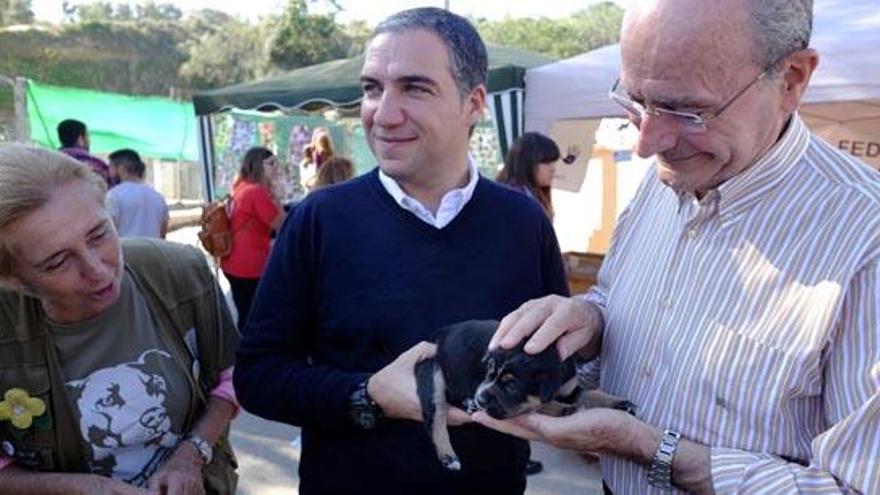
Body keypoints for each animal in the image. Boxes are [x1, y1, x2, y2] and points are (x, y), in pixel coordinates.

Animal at [416, 320, 636, 470]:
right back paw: (449, 455)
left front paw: (621, 404)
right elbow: (544, 404)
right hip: (434, 372)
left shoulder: (570, 389)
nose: (481, 399)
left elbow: (593, 396)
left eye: (511, 387)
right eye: (489, 372)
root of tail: (442, 333)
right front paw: (566, 410)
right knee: (437, 413)